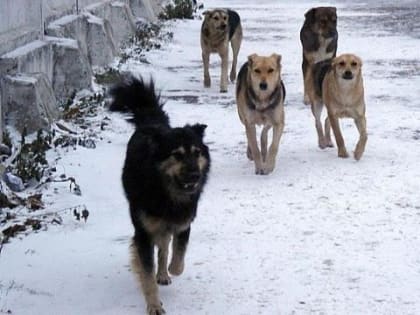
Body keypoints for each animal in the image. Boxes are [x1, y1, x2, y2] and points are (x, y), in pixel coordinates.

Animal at [109, 75, 210, 314]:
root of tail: (151, 122)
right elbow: (146, 272)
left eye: (197, 153)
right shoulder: (144, 232)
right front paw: (154, 305)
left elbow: (178, 257)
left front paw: (170, 270)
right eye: (177, 155)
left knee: (164, 246)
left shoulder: (183, 223)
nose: (195, 175)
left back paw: (163, 273)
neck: (167, 193)